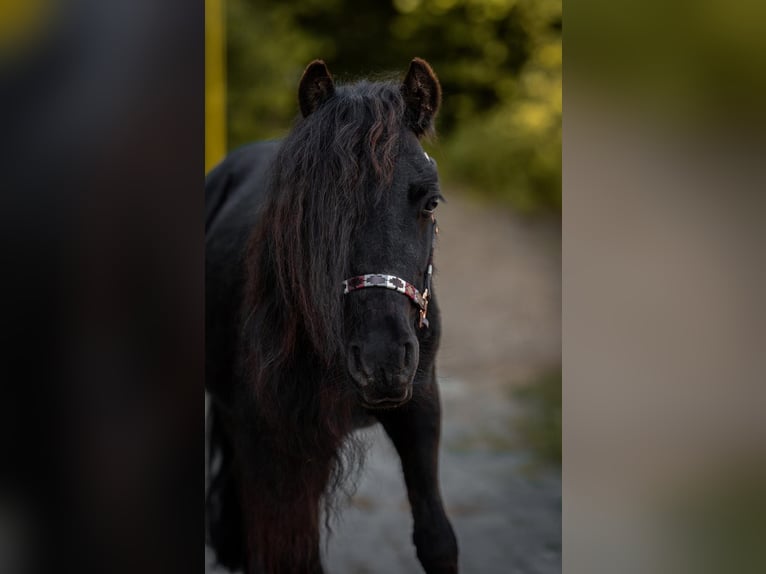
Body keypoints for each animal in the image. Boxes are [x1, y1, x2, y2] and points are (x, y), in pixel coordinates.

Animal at [205, 58, 458, 574]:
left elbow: (437, 539)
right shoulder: (272, 445)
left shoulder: (420, 402)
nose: (383, 362)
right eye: (314, 209)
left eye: (430, 202)